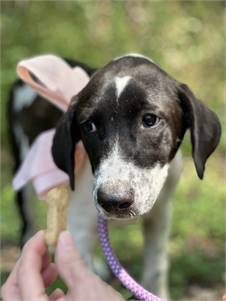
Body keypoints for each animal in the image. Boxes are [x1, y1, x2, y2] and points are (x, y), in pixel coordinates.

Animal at [8, 54, 221, 298]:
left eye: (150, 120)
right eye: (88, 126)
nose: (113, 201)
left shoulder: (160, 214)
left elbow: (156, 269)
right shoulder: (80, 224)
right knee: (27, 223)